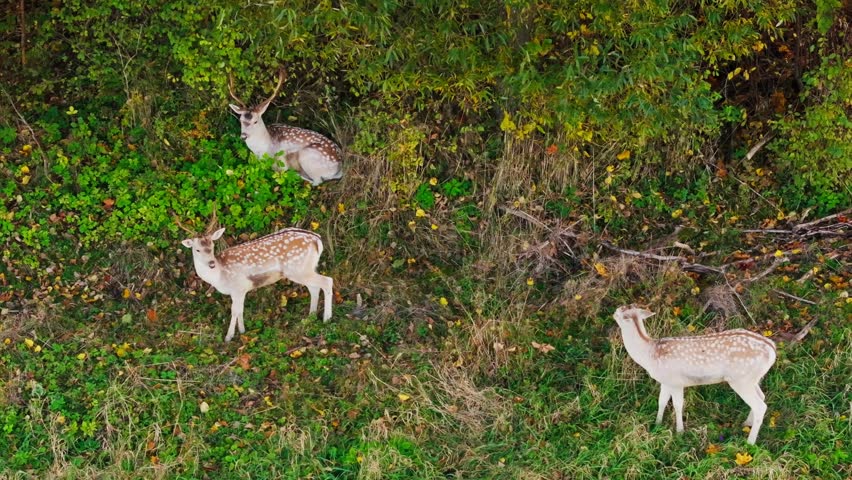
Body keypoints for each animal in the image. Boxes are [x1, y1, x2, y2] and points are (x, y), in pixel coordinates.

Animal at [178, 218, 334, 342]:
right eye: (197, 250)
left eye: (212, 246)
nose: (211, 263)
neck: (220, 276)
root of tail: (317, 239)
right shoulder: (242, 290)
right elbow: (240, 310)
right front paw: (242, 331)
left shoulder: (237, 287)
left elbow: (234, 311)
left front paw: (229, 337)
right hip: (306, 268)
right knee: (314, 287)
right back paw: (310, 317)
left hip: (298, 269)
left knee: (327, 281)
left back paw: (326, 319)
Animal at [612, 304, 776, 445]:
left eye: (620, 313)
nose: (612, 313)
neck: (648, 354)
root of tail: (772, 350)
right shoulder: (665, 381)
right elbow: (662, 401)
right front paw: (657, 423)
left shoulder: (676, 382)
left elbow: (678, 405)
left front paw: (679, 432)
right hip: (752, 379)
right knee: (762, 397)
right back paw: (746, 423)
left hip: (741, 380)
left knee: (760, 406)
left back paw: (750, 442)